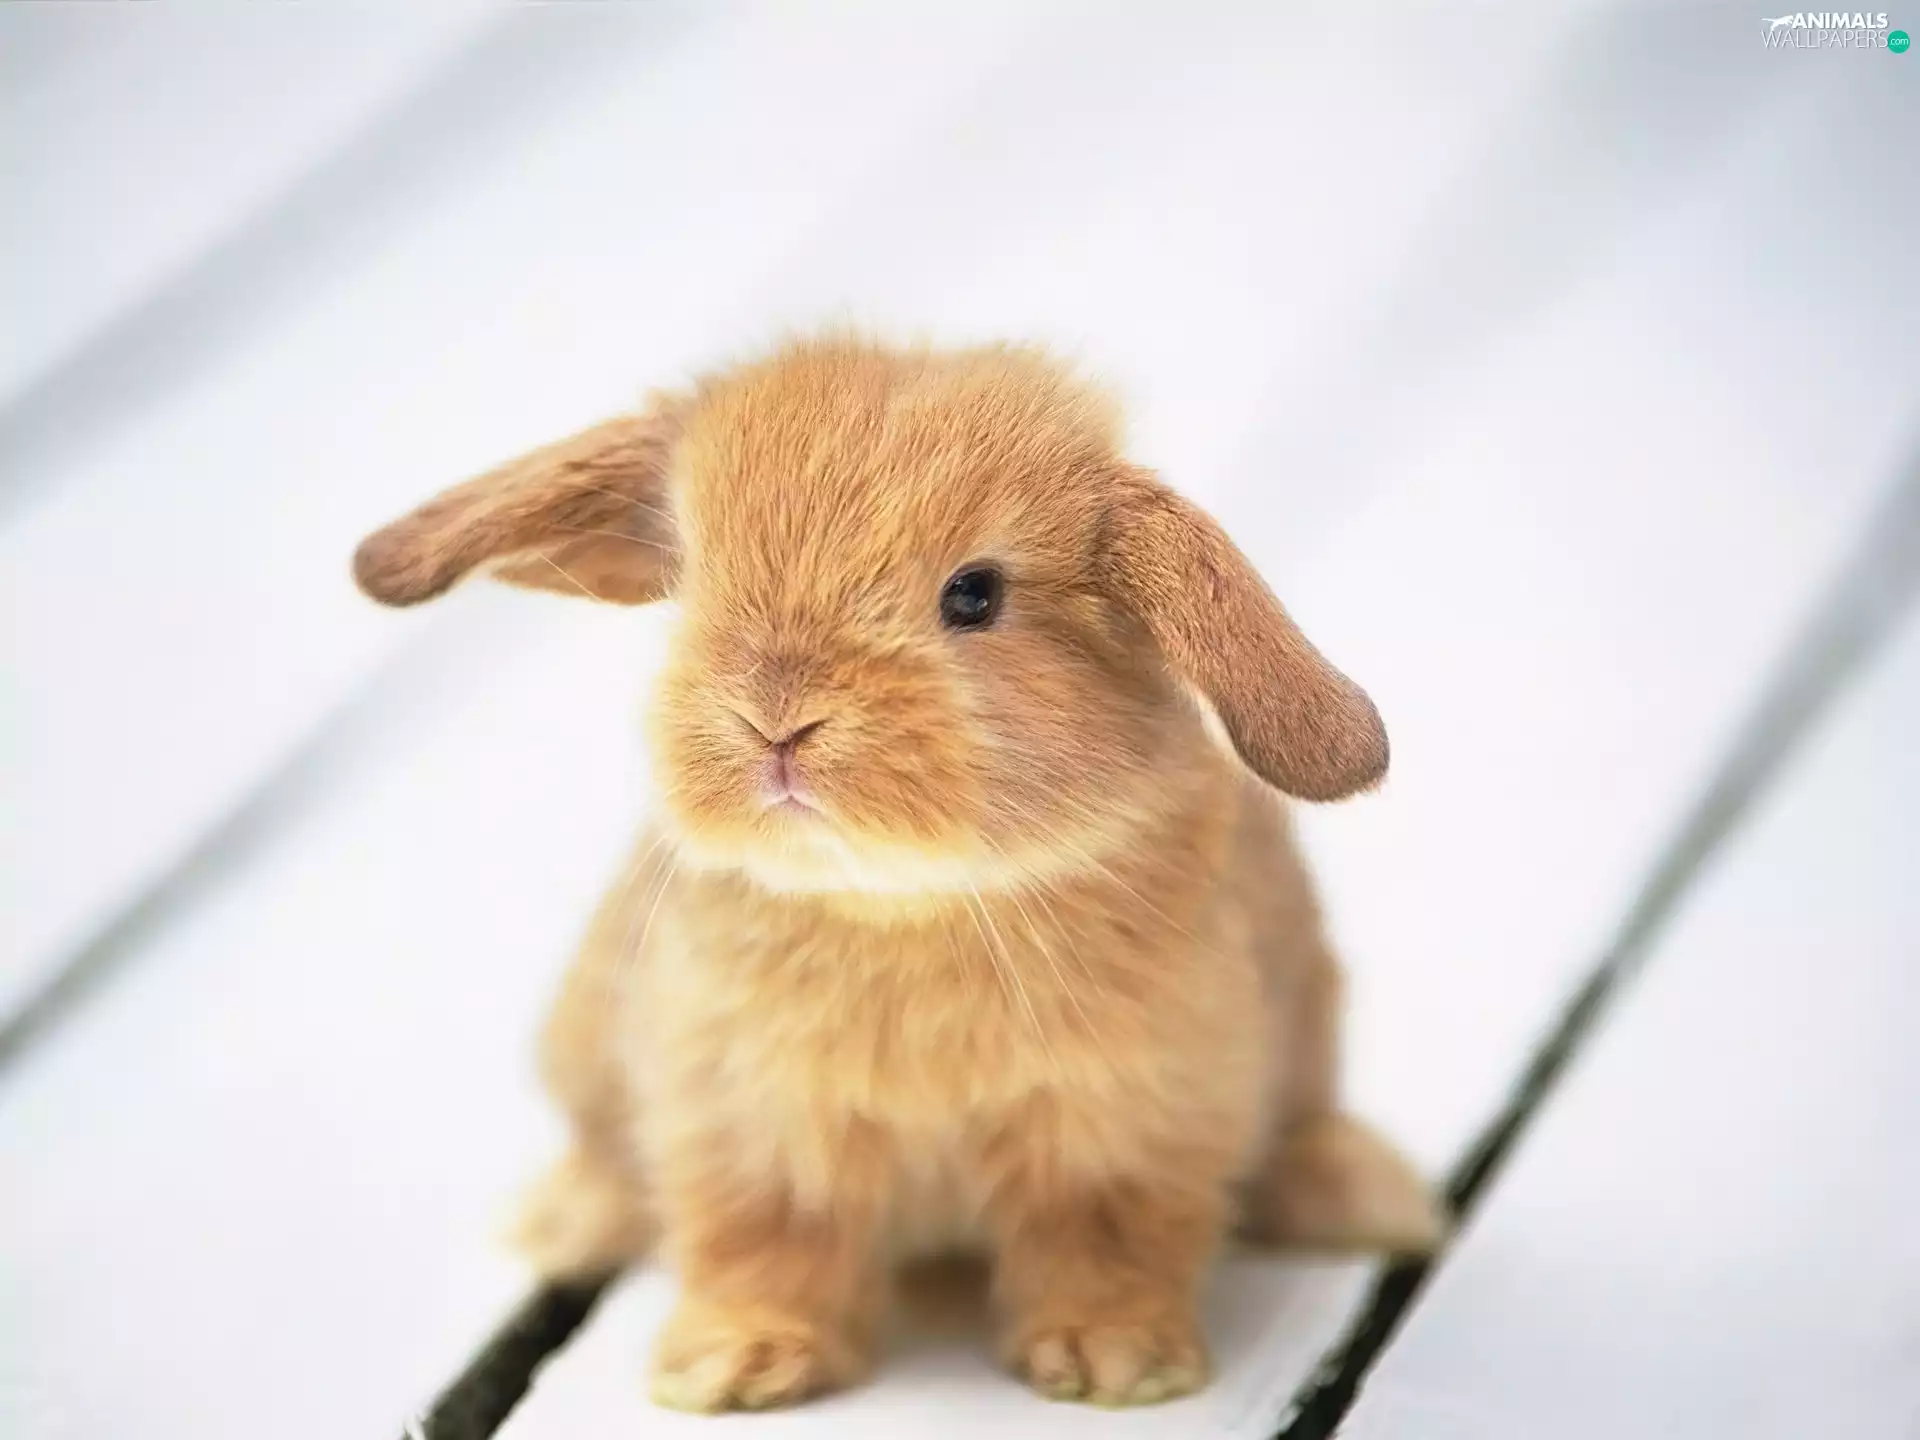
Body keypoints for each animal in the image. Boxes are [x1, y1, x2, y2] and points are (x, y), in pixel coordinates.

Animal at [353, 335, 1442, 1414]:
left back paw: (1360, 1199)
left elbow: (1106, 1241)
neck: (903, 904)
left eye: (975, 594)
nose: (777, 720)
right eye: (695, 578)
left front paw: (1117, 1361)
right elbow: (762, 1242)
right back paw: (563, 1222)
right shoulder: (745, 1121)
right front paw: (735, 1366)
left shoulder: (1131, 1122)